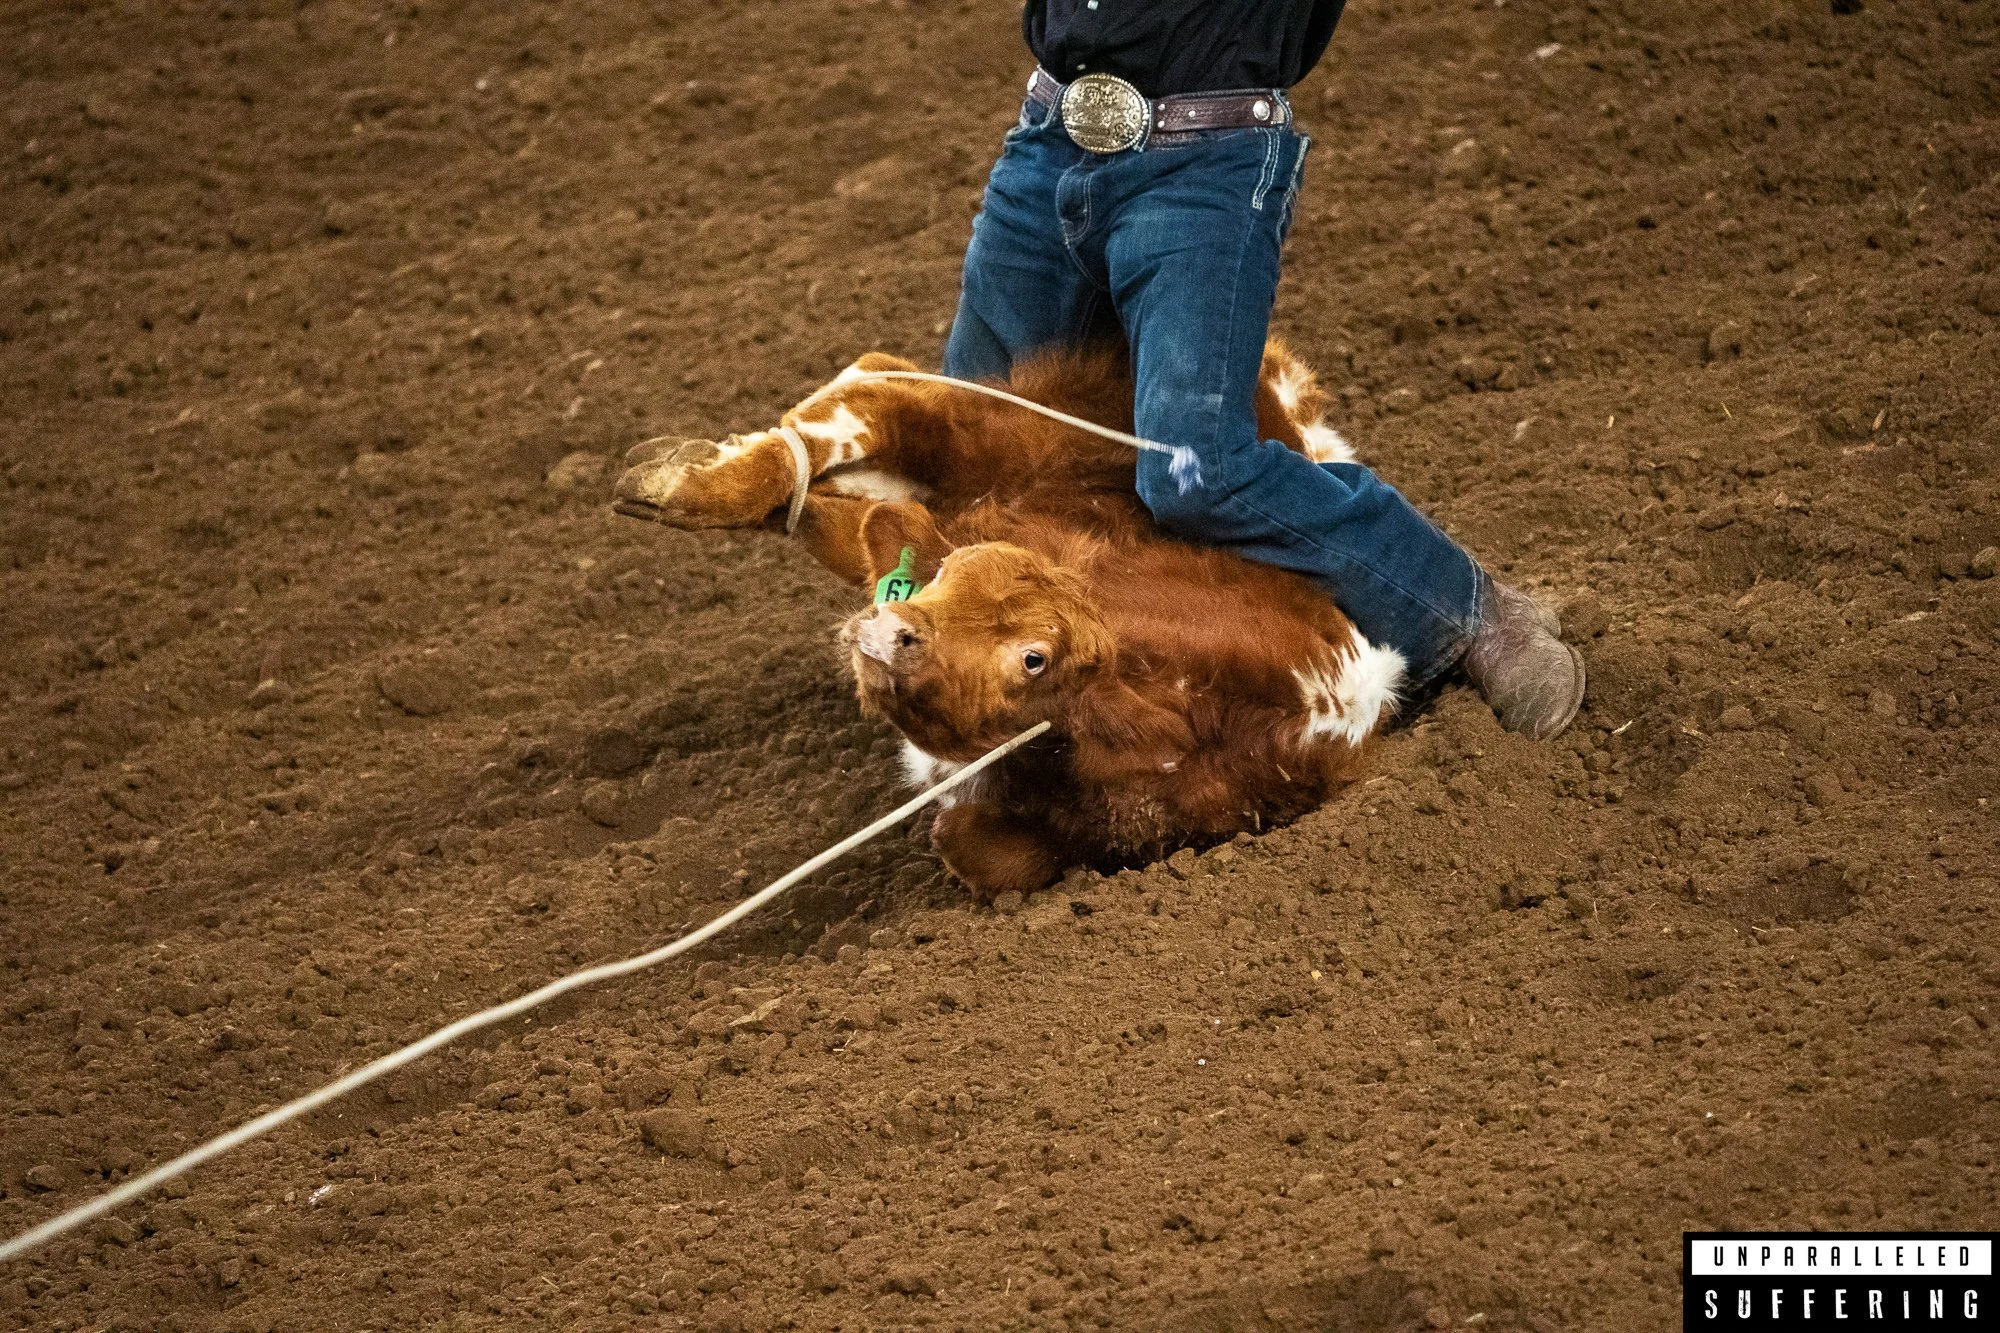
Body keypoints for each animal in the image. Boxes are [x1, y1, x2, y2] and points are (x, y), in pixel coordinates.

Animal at [612, 342, 1403, 897]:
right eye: (958, 580)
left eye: (1033, 657)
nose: (888, 633)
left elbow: (968, 840)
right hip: (996, 437)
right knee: (861, 401)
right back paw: (680, 481)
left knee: (862, 425)